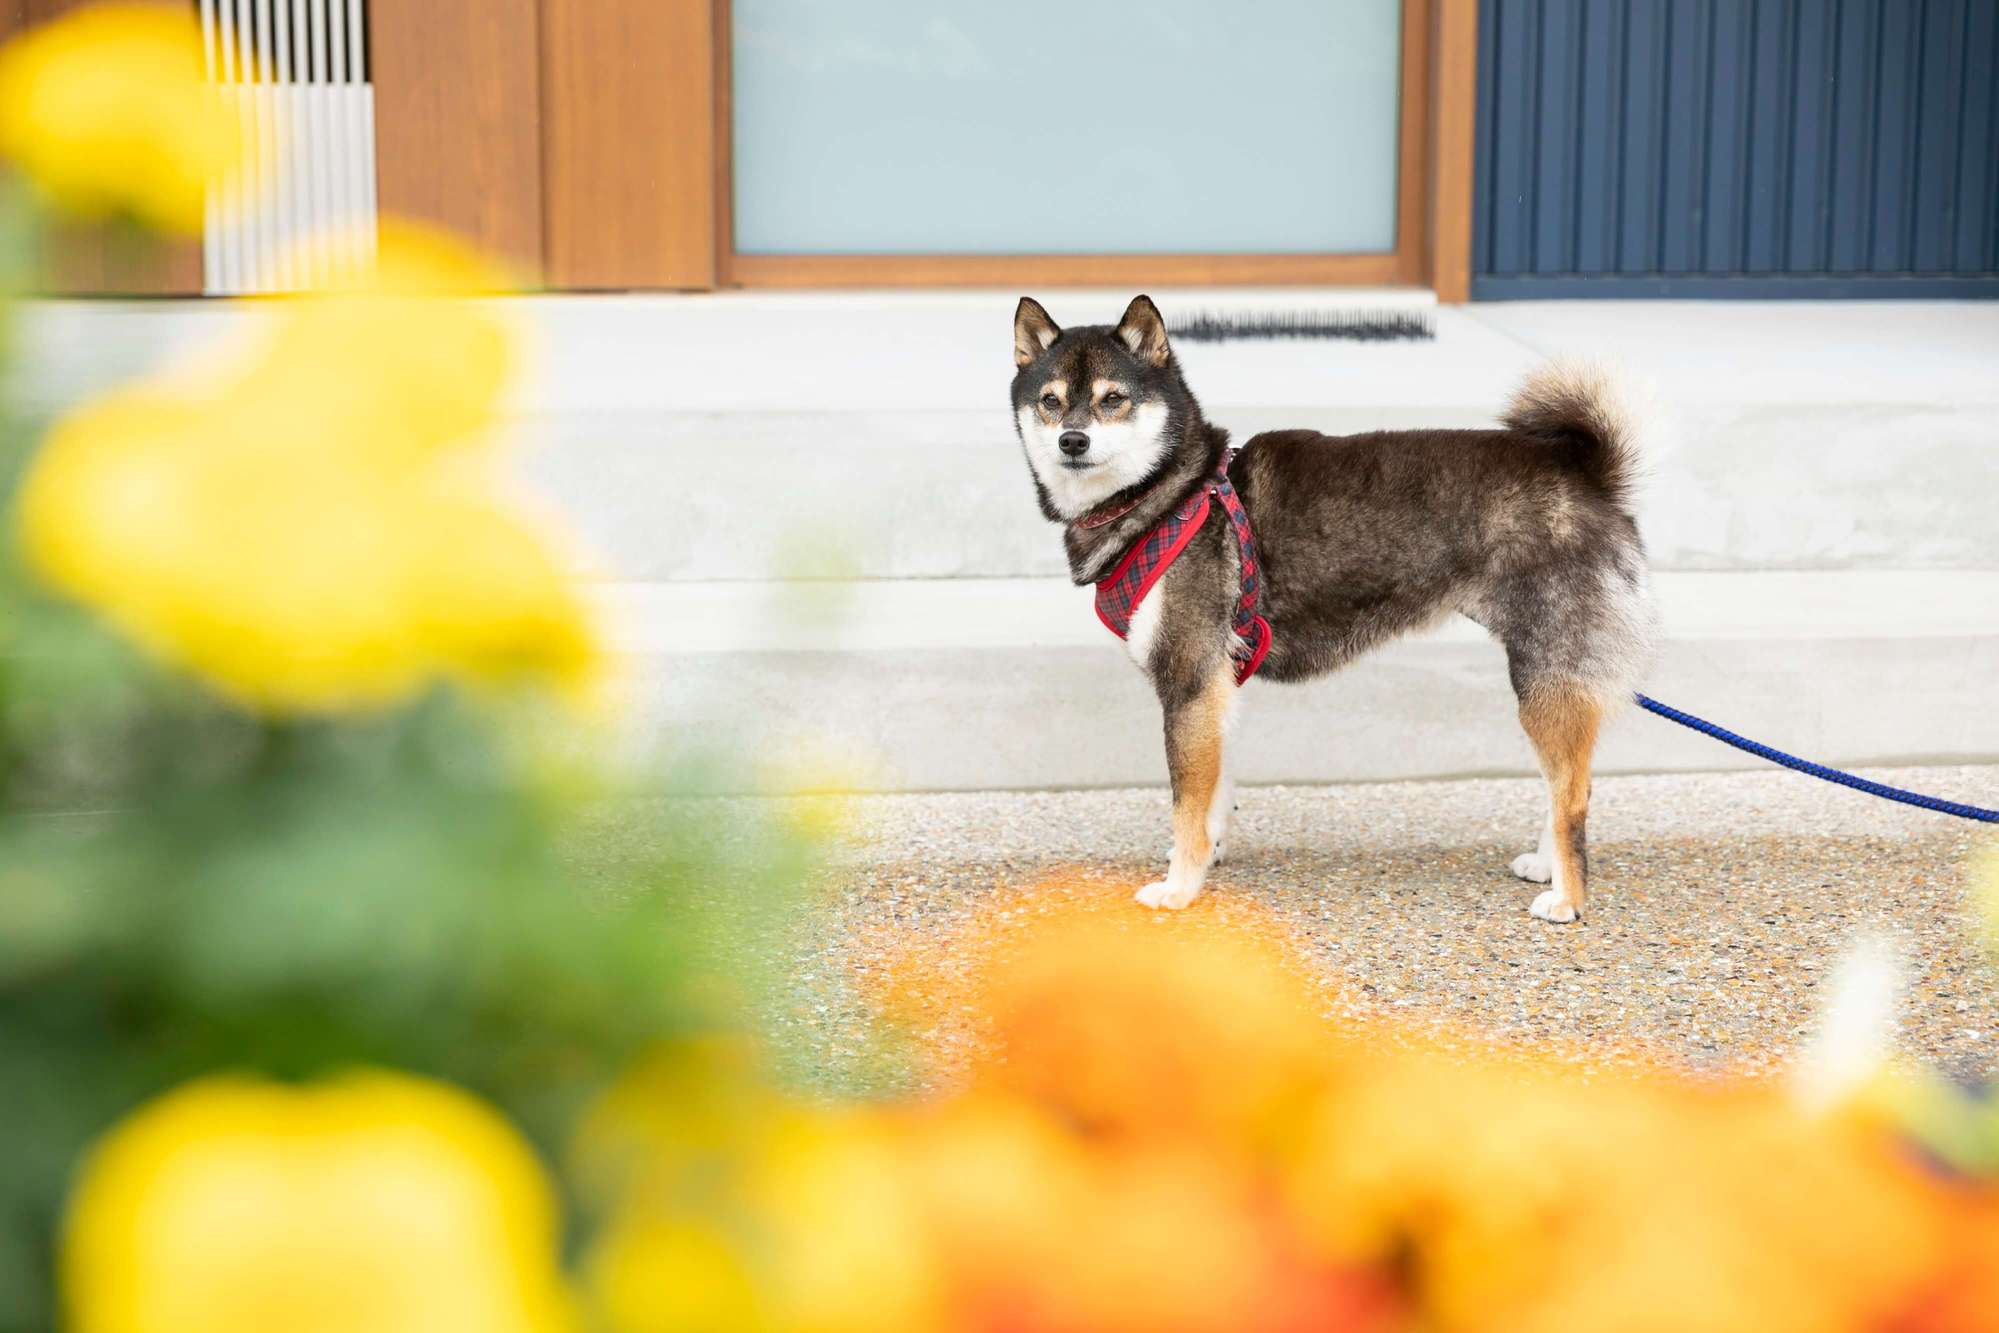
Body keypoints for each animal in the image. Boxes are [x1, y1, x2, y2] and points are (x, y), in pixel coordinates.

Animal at [1015, 295, 1655, 923]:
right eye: (1050, 402)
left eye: (1113, 399)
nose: (1073, 441)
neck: (1172, 493)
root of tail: (1589, 476)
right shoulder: (1214, 690)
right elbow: (1212, 798)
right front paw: (1202, 858)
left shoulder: (1189, 680)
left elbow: (1185, 807)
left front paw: (1179, 888)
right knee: (1567, 786)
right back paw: (1547, 866)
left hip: (1544, 675)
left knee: (1572, 795)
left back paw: (1568, 899)